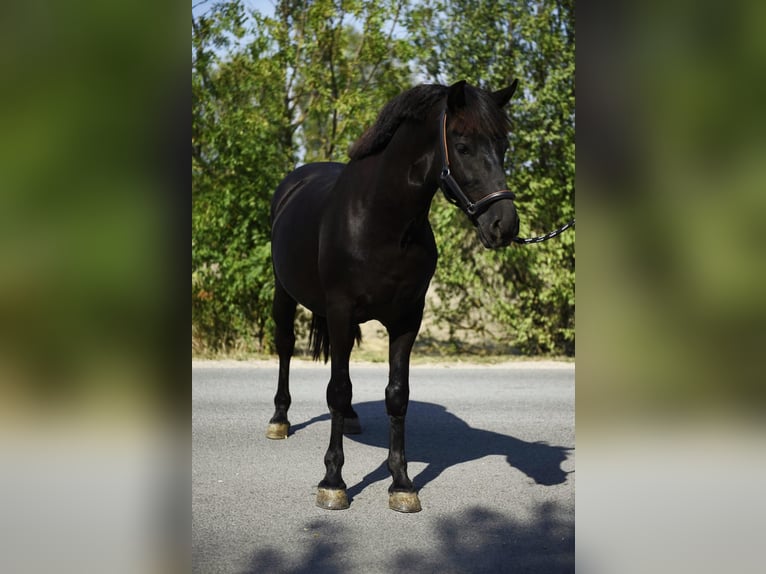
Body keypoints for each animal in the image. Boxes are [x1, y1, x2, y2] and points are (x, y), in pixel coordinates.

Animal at [267, 80, 520, 513]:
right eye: (463, 146)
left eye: (503, 145)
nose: (504, 224)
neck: (381, 221)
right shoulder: (340, 309)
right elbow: (337, 389)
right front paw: (333, 482)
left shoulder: (407, 318)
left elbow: (396, 395)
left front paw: (401, 483)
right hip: (284, 292)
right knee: (285, 346)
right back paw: (279, 420)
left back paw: (352, 418)